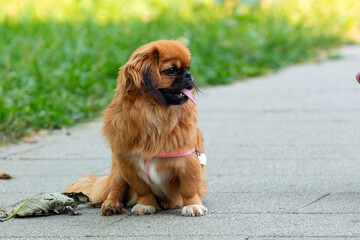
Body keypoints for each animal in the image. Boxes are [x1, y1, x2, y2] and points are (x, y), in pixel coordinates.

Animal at [63, 39, 207, 216]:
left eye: (188, 68)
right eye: (171, 70)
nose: (188, 75)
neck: (153, 114)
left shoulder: (188, 161)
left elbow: (189, 188)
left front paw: (193, 205)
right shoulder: (128, 165)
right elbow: (143, 189)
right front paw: (145, 205)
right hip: (117, 172)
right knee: (115, 190)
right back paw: (111, 205)